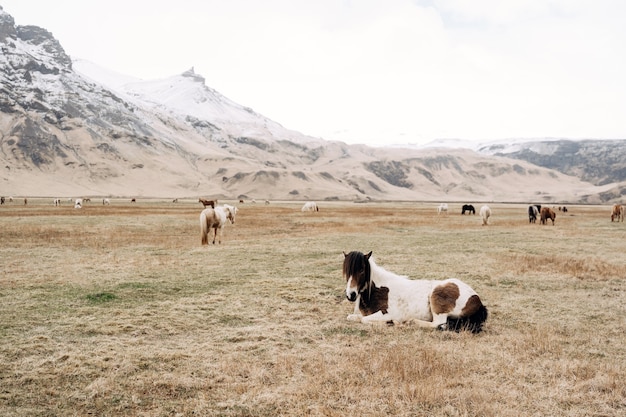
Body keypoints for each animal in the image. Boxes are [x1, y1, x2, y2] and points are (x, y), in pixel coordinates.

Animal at [342, 249, 488, 334]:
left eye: (361, 270)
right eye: (346, 271)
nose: (351, 295)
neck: (378, 291)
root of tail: (476, 298)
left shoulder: (388, 313)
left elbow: (364, 320)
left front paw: (392, 323)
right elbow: (353, 317)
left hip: (437, 297)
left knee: (438, 324)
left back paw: (411, 322)